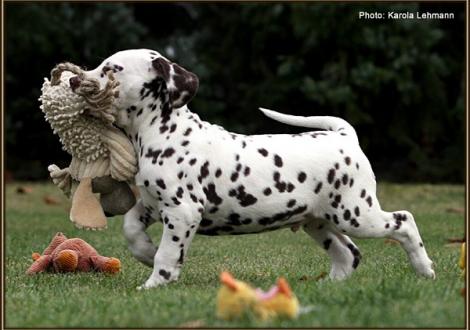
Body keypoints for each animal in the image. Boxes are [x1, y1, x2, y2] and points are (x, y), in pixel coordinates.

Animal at [72, 49, 434, 288]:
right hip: (318, 220)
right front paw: (146, 252)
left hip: (355, 213)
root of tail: (344, 135)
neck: (161, 131)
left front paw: (156, 282)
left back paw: (424, 269)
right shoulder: (150, 204)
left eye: (111, 70)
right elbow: (130, 228)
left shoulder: (182, 211)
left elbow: (168, 253)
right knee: (348, 253)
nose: (74, 79)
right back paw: (328, 288)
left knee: (403, 221)